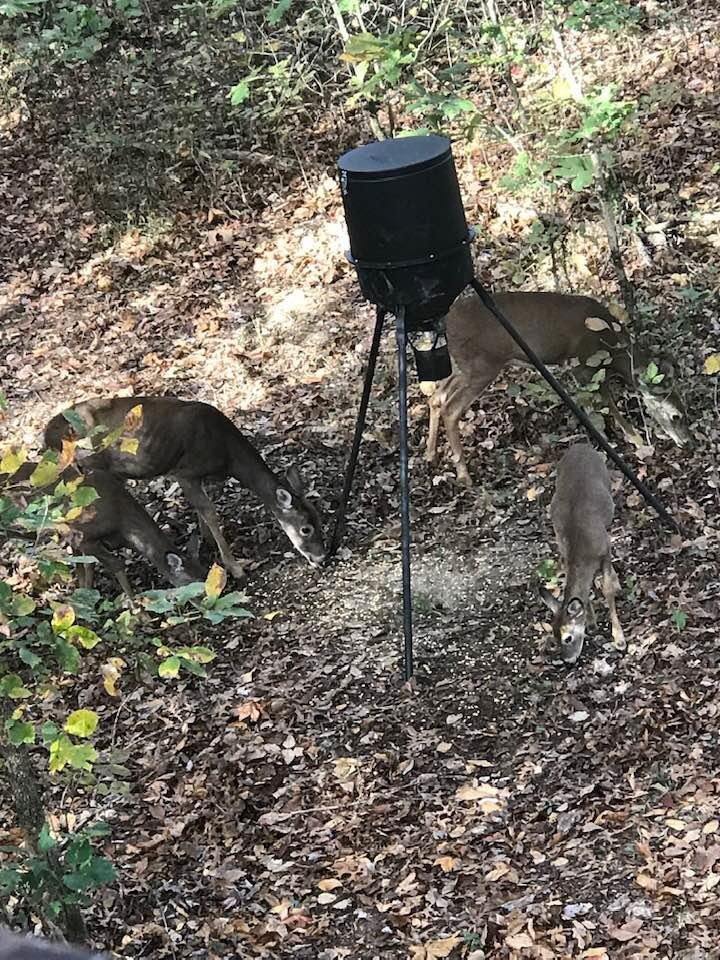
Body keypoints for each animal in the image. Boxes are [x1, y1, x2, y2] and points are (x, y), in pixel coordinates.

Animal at [4, 461, 206, 598]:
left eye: (204, 574)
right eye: (192, 582)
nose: (209, 597)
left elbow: (86, 565)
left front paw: (85, 593)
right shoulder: (83, 536)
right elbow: (116, 564)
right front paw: (137, 609)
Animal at [43, 396, 326, 579]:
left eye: (320, 519)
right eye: (306, 528)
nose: (321, 558)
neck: (227, 455)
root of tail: (48, 435)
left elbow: (203, 511)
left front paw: (208, 542)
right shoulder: (185, 471)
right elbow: (210, 511)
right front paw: (235, 567)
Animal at [424, 291, 690, 486]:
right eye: (676, 415)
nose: (687, 442)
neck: (612, 344)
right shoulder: (582, 363)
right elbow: (606, 402)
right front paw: (636, 440)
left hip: (462, 365)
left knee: (437, 397)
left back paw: (430, 455)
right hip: (482, 364)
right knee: (451, 409)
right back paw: (463, 474)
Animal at [539, 444, 624, 664]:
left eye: (568, 637)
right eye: (554, 637)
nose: (568, 660)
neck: (582, 552)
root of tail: (580, 445)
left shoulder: (604, 550)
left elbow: (607, 590)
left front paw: (619, 638)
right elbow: (587, 592)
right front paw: (592, 622)